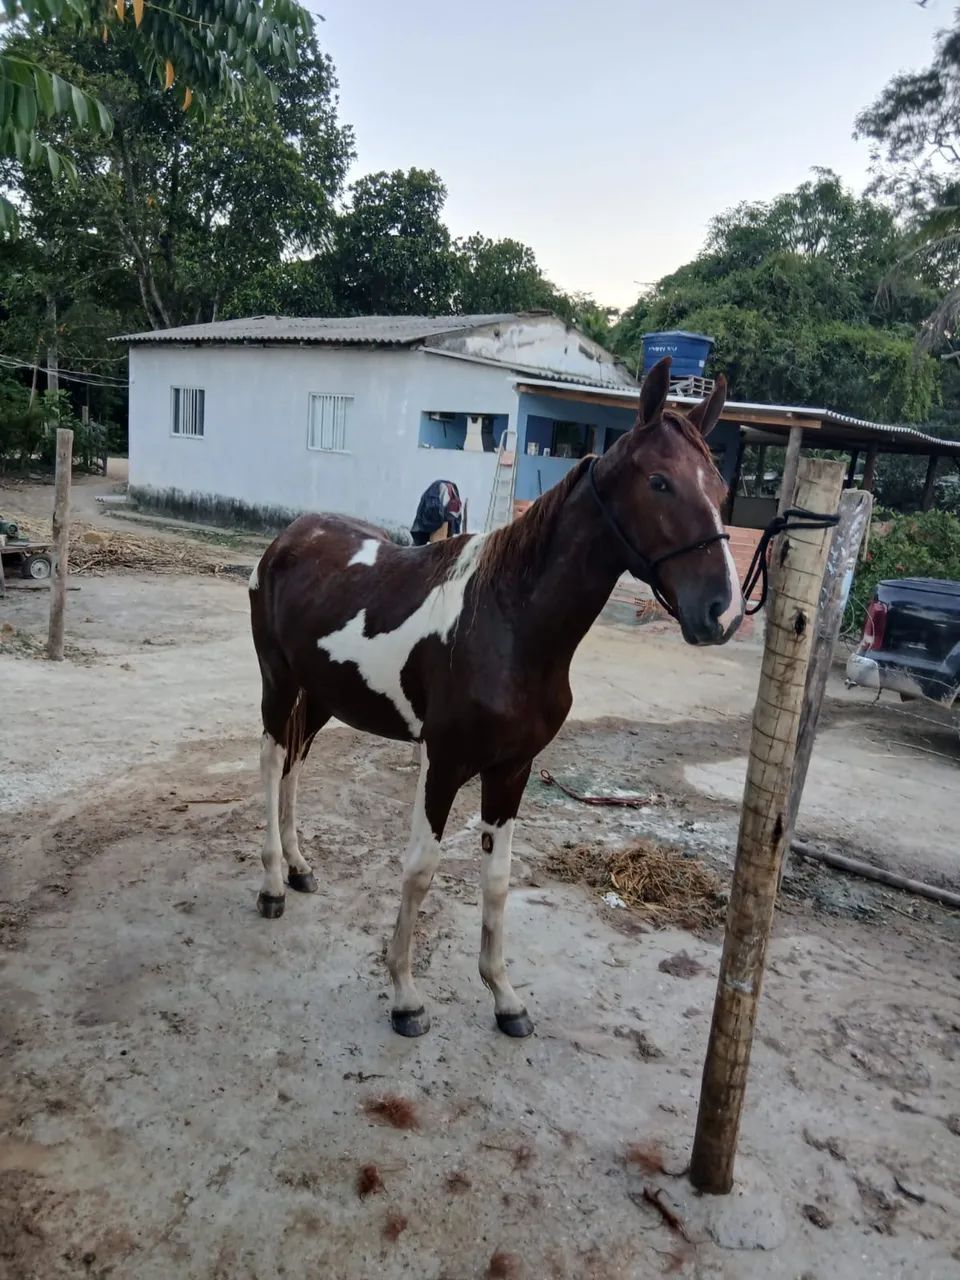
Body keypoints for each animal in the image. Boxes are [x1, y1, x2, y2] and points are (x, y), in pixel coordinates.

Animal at [248, 356, 744, 1039]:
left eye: (720, 488)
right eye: (660, 482)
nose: (722, 613)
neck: (508, 619)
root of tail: (290, 537)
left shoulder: (512, 770)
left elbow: (500, 880)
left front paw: (504, 997)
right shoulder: (444, 763)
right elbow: (420, 869)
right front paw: (405, 995)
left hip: (322, 696)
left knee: (296, 763)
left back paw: (298, 868)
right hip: (279, 682)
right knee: (273, 761)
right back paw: (272, 883)